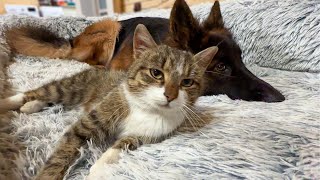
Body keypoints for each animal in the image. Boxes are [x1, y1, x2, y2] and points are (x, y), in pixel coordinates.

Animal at [0, 24, 218, 180]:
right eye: (156, 73)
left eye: (187, 82)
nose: (170, 95)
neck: (147, 109)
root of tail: (101, 68)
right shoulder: (99, 113)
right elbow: (67, 146)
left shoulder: (153, 134)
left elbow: (123, 145)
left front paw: (98, 168)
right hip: (73, 86)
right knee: (43, 92)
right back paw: (12, 102)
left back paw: (30, 106)